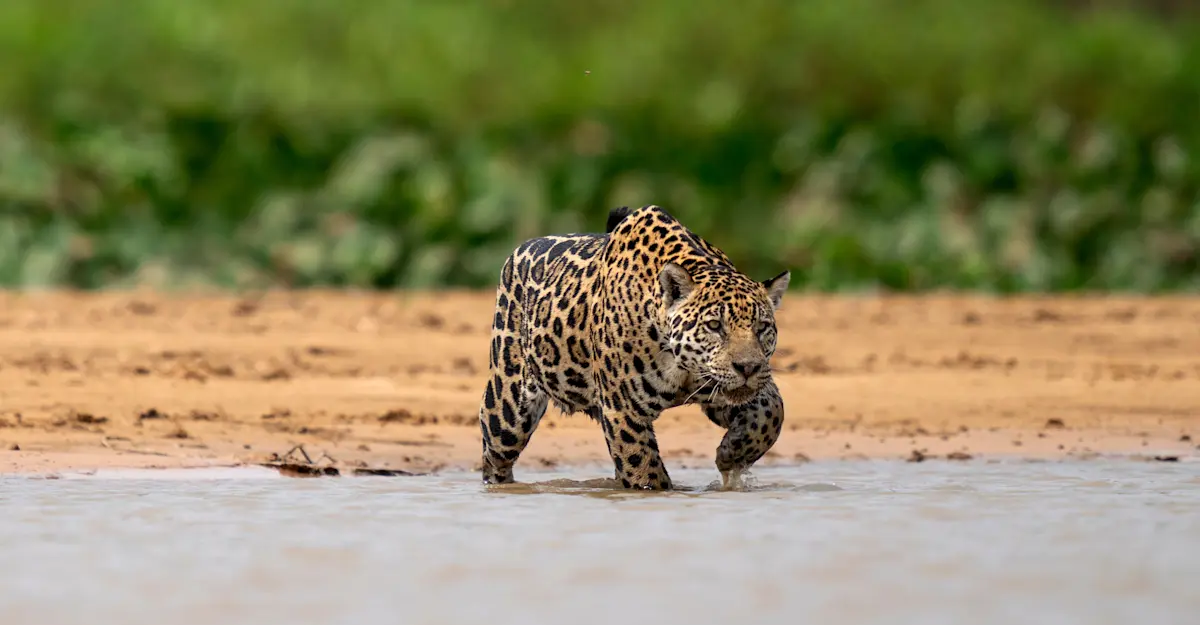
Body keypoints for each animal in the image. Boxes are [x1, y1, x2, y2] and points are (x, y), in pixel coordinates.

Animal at [477, 204, 790, 490]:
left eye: (762, 328)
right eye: (714, 326)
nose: (748, 368)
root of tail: (522, 247)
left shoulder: (731, 391)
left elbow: (772, 413)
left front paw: (732, 454)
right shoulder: (623, 410)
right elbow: (644, 470)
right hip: (507, 410)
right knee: (495, 457)